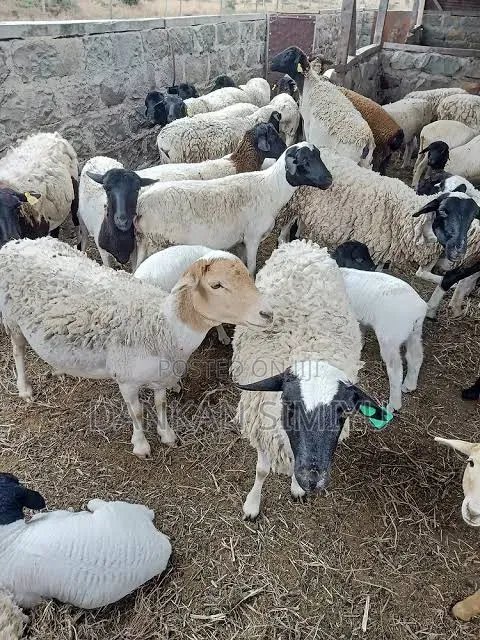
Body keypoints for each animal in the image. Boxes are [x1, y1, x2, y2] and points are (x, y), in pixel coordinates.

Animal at [0, 236, 273, 458]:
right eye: (216, 285)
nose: (268, 313)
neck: (164, 326)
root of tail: (16, 243)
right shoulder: (126, 380)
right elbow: (138, 412)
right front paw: (141, 446)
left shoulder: (161, 375)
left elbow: (161, 404)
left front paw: (167, 435)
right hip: (12, 319)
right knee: (18, 351)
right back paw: (24, 389)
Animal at [135, 142, 333, 274]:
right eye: (303, 160)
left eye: (319, 156)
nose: (329, 180)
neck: (272, 188)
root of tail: (141, 203)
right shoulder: (252, 237)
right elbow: (251, 267)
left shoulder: (241, 241)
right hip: (157, 244)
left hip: (144, 244)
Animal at [231, 240, 391, 519]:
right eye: (290, 406)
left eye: (343, 412)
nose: (312, 480)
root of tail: (303, 244)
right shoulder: (261, 426)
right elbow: (261, 470)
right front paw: (252, 504)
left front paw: (296, 488)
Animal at [282, 147, 480, 283]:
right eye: (443, 211)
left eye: (472, 218)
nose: (459, 251)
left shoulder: (383, 251)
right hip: (292, 204)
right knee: (286, 226)